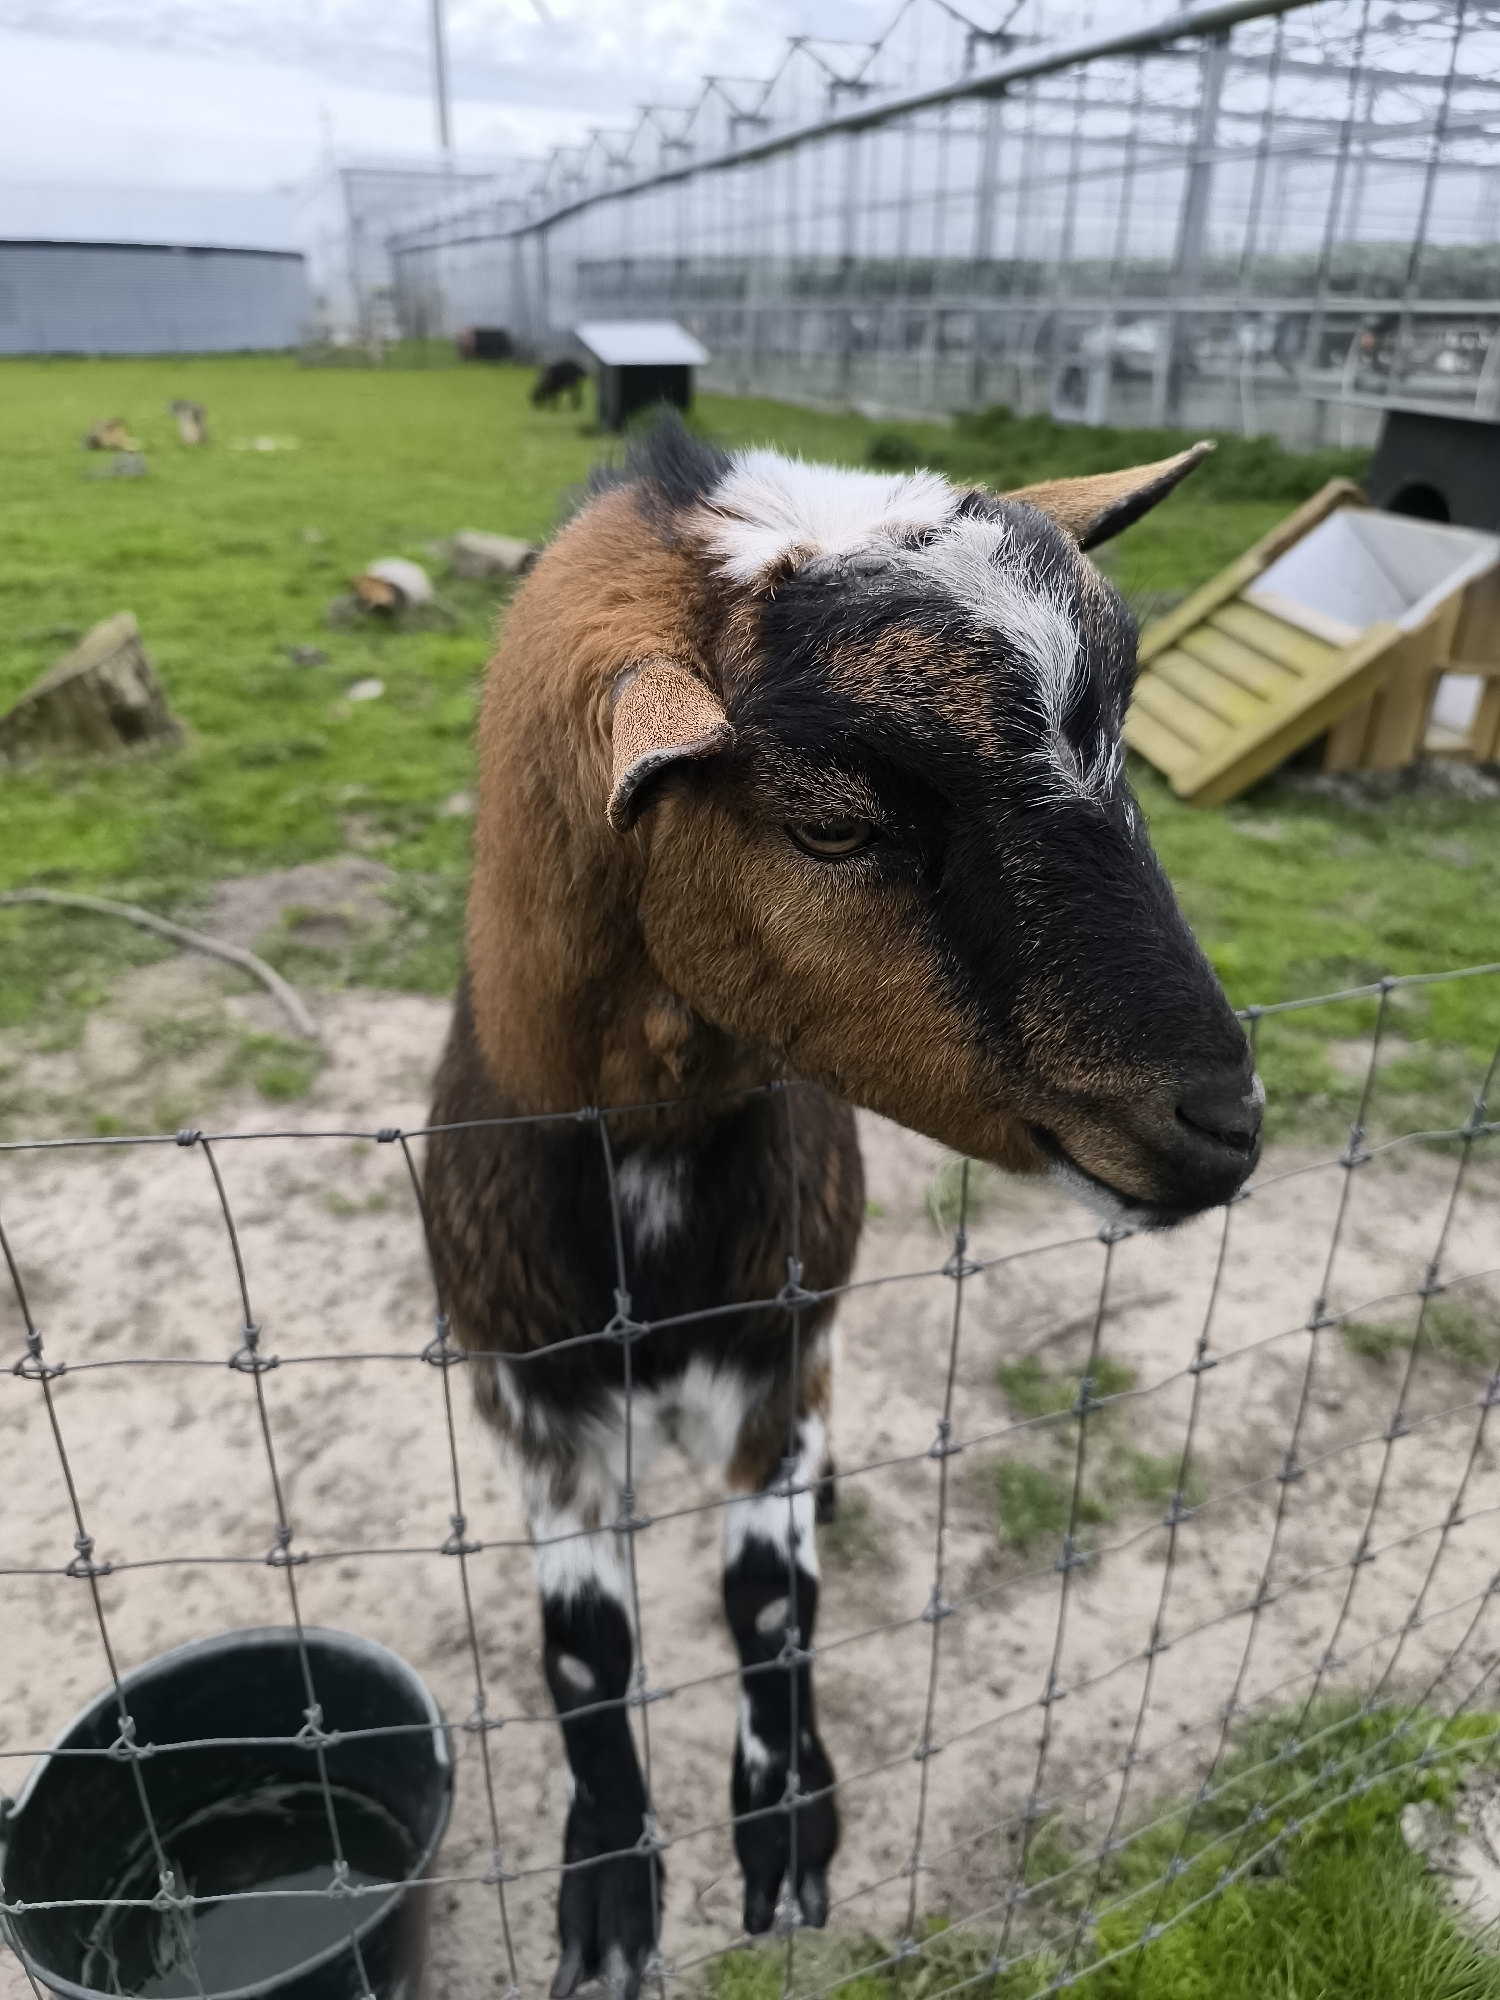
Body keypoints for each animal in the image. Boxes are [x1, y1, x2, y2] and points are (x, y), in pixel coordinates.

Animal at [423, 416, 1261, 1999]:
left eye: (1119, 751)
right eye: (827, 825)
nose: (1223, 1125)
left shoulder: (781, 1368)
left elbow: (771, 1603)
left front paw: (788, 1841)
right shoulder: (528, 1409)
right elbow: (585, 1650)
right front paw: (609, 1903)